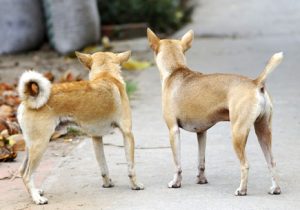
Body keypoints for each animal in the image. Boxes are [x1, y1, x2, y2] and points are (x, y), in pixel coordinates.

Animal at [17, 50, 144, 203]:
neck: (106, 76)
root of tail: (29, 100)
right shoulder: (127, 134)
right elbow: (131, 167)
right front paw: (135, 185)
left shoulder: (96, 138)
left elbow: (103, 167)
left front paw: (107, 183)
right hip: (40, 146)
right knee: (27, 175)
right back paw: (37, 198)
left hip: (31, 146)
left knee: (22, 171)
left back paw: (35, 192)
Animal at [148, 27, 284, 195]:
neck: (176, 70)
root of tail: (256, 82)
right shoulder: (202, 133)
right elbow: (201, 161)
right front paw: (201, 179)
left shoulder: (173, 131)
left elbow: (177, 164)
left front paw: (176, 183)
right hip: (263, 131)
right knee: (272, 162)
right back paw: (275, 188)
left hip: (238, 134)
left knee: (245, 164)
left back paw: (242, 190)